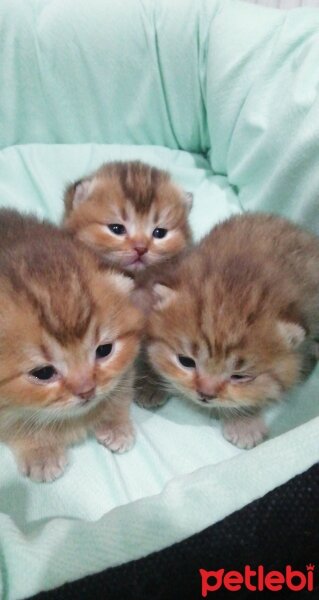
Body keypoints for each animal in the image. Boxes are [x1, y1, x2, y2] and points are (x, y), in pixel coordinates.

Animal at [0, 209, 144, 480]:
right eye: (43, 373)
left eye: (104, 350)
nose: (87, 391)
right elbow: (16, 425)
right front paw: (40, 450)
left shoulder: (124, 370)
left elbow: (119, 392)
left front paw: (115, 422)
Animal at [144, 213, 319, 448]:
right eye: (186, 361)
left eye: (239, 376)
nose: (205, 394)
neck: (236, 286)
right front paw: (148, 384)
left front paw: (244, 423)